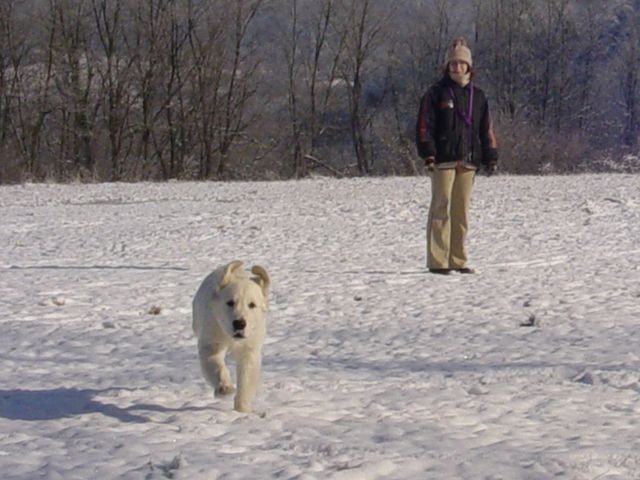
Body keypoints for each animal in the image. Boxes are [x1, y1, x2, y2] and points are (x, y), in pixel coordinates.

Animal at [190, 258, 270, 412]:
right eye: (230, 302)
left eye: (252, 305)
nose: (239, 323)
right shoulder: (212, 340)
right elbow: (215, 364)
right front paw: (225, 388)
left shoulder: (249, 348)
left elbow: (246, 378)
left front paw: (242, 409)